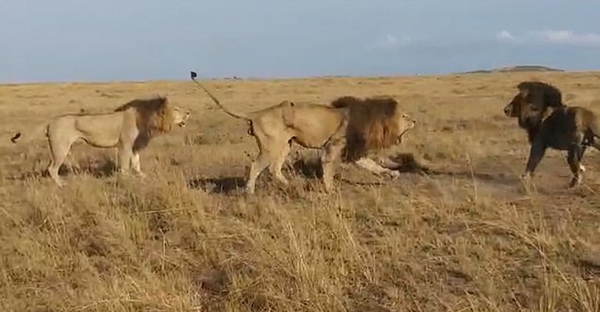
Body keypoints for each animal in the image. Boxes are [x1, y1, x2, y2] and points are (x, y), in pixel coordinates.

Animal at [10, 95, 191, 186]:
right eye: (176, 109)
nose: (188, 113)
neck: (146, 118)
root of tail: (51, 120)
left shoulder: (134, 146)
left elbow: (136, 162)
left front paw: (141, 176)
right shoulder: (125, 145)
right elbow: (125, 165)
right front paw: (126, 179)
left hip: (59, 149)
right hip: (60, 148)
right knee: (52, 168)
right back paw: (61, 184)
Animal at [190, 71, 414, 193]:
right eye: (404, 116)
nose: (414, 120)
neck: (370, 118)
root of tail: (256, 113)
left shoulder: (354, 151)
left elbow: (373, 165)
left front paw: (392, 173)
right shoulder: (332, 147)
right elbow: (328, 170)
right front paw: (330, 190)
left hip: (285, 144)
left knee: (274, 169)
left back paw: (290, 185)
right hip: (271, 147)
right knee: (255, 167)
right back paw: (250, 192)